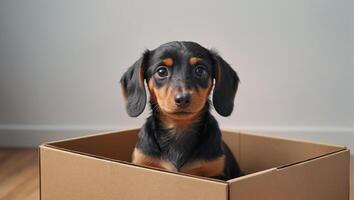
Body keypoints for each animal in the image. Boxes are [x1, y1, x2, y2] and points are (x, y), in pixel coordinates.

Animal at [120, 40, 242, 180]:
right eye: (161, 71)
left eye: (200, 70)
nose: (183, 99)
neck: (179, 128)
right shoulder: (142, 161)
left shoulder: (217, 172)